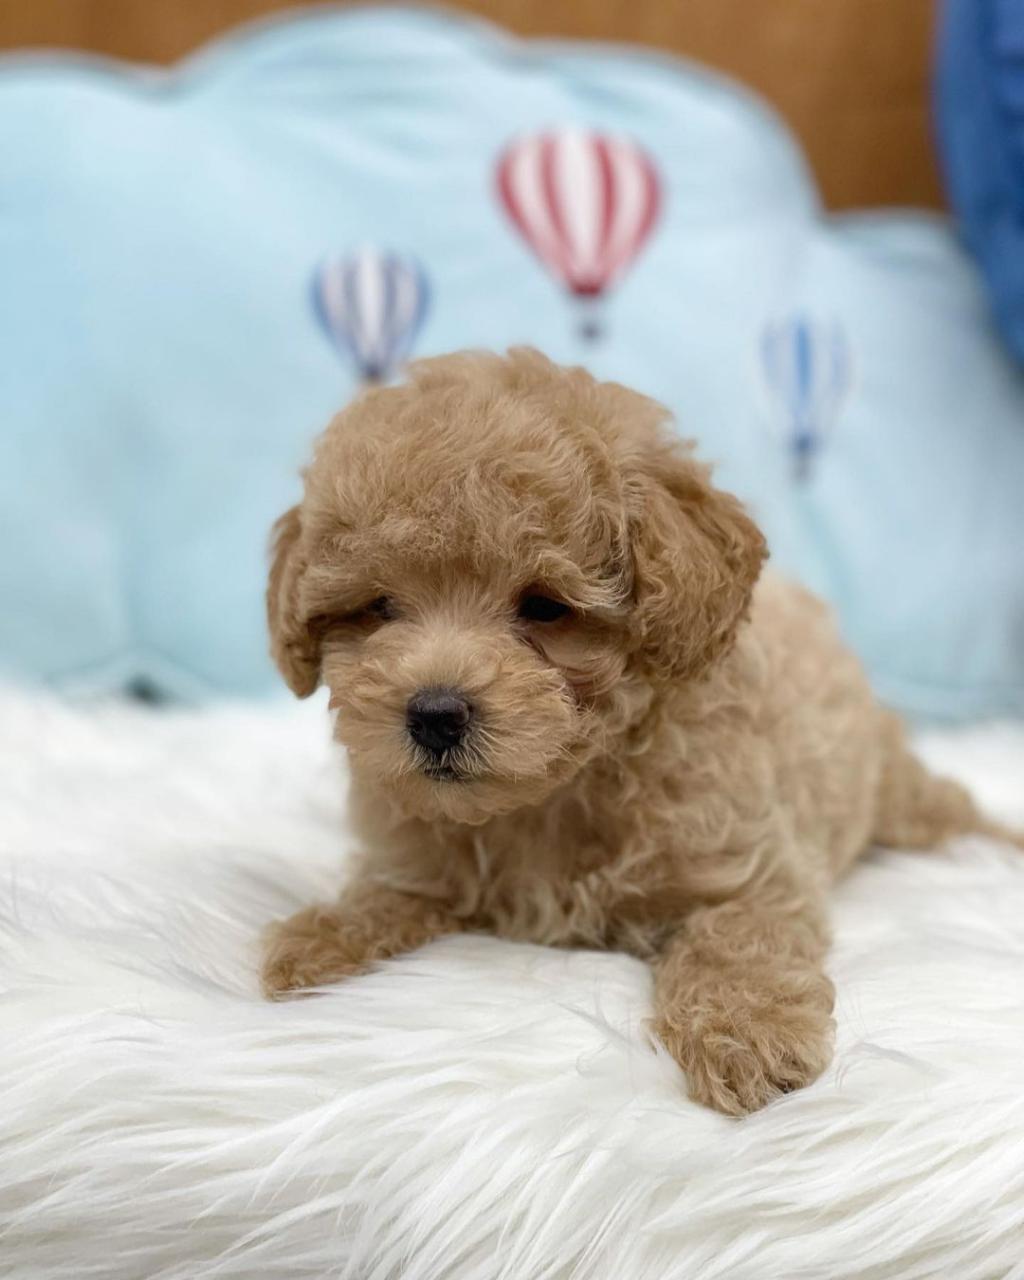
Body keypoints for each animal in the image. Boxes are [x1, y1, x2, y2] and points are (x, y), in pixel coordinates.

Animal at [261, 347, 1017, 1115]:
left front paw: (748, 1033)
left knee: (946, 808)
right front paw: (318, 936)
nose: (434, 715)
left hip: (895, 789)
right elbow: (390, 891)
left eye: (545, 607)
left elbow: (734, 937)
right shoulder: (419, 853)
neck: (552, 795)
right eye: (380, 607)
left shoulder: (751, 868)